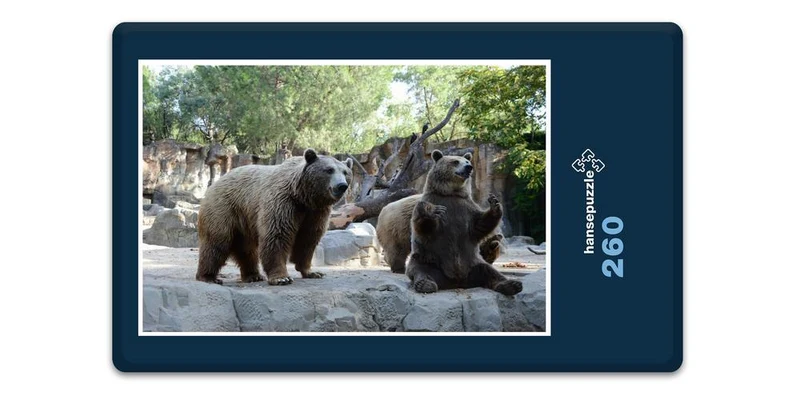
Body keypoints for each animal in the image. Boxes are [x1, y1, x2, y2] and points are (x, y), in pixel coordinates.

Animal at [195, 148, 353, 286]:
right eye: (329, 170)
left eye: (345, 172)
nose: (342, 185)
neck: (303, 196)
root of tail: (215, 184)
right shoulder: (283, 202)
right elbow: (277, 236)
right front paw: (282, 278)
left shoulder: (315, 213)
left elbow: (308, 240)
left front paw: (312, 272)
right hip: (224, 209)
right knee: (216, 242)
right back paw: (208, 277)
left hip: (244, 219)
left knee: (246, 249)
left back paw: (253, 275)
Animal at [376, 193, 505, 274]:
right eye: (487, 257)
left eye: (491, 260)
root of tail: (382, 211)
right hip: (397, 228)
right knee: (397, 249)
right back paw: (399, 268)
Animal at [405, 150, 523, 296]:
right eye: (455, 161)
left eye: (467, 161)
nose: (469, 167)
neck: (451, 193)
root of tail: (457, 281)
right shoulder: (433, 200)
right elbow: (424, 227)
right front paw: (432, 212)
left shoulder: (466, 208)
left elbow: (479, 225)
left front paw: (495, 203)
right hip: (428, 259)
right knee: (421, 271)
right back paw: (425, 284)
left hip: (473, 263)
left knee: (490, 271)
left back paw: (512, 284)